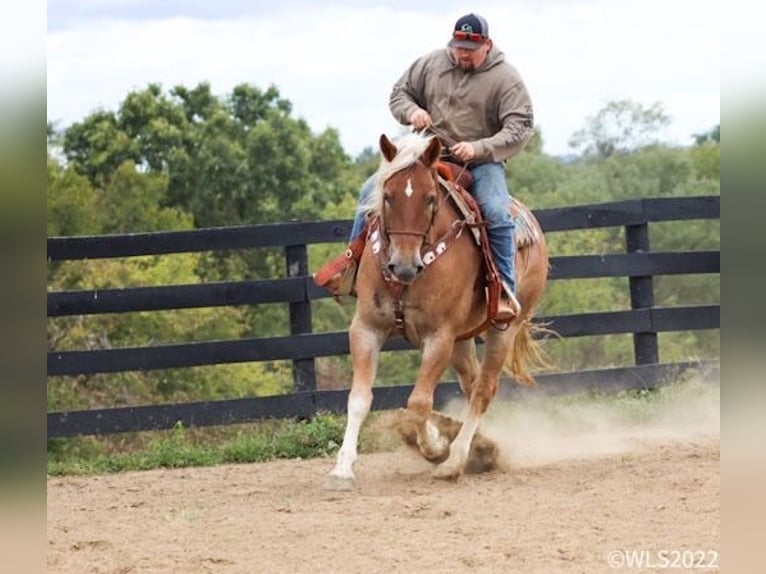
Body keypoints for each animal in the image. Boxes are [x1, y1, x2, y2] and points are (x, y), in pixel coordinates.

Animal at [324, 132, 552, 490]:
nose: (403, 266)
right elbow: (359, 399)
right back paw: (479, 447)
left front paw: (434, 447)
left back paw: (455, 460)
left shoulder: (438, 337)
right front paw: (342, 470)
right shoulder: (366, 329)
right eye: (387, 196)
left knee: (484, 390)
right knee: (472, 385)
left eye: (430, 199)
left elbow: (419, 403)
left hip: (505, 328)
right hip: (462, 340)